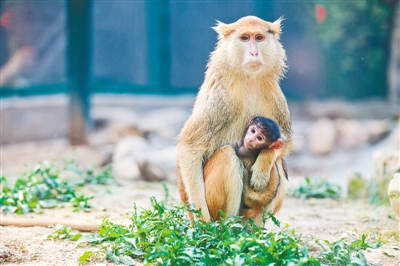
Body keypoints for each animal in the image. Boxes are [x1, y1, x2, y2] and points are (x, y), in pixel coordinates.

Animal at [177, 15, 292, 221]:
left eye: (259, 38)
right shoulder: (221, 97)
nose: (254, 52)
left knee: (279, 165)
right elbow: (190, 149)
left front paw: (262, 168)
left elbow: (284, 142)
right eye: (245, 38)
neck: (249, 80)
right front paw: (203, 222)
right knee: (227, 155)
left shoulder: (275, 94)